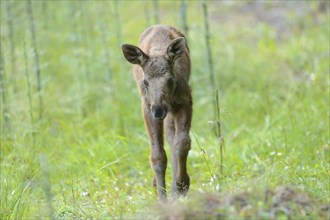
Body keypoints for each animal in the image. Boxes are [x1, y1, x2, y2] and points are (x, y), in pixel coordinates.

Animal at [122, 24, 192, 200]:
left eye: (170, 79)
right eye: (145, 82)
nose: (159, 110)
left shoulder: (185, 99)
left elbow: (182, 143)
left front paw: (182, 185)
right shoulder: (147, 107)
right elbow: (157, 156)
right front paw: (162, 198)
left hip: (172, 109)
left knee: (172, 136)